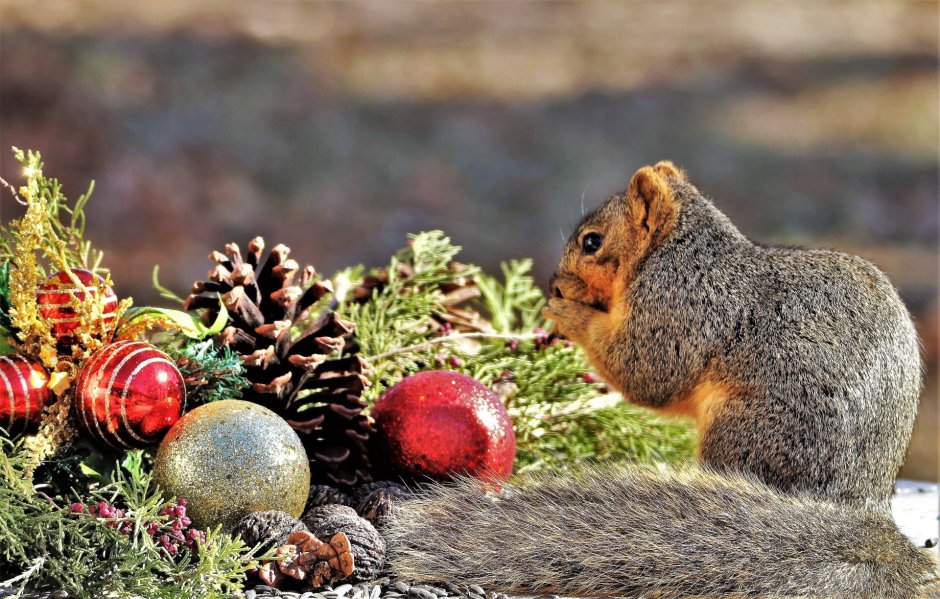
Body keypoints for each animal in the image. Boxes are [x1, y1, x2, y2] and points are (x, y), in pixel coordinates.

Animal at [384, 163, 940, 599]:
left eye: (592, 242)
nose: (555, 284)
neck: (677, 252)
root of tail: (864, 507)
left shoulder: (677, 304)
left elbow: (647, 369)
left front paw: (567, 313)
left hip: (747, 428)